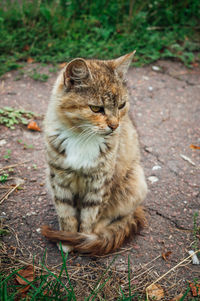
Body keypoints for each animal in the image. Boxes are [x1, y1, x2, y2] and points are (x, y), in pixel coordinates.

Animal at [41, 51, 147, 253]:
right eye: (96, 108)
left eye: (121, 105)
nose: (114, 125)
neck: (81, 137)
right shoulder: (59, 179)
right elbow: (66, 214)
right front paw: (67, 240)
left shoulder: (100, 183)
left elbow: (90, 217)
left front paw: (83, 239)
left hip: (135, 182)